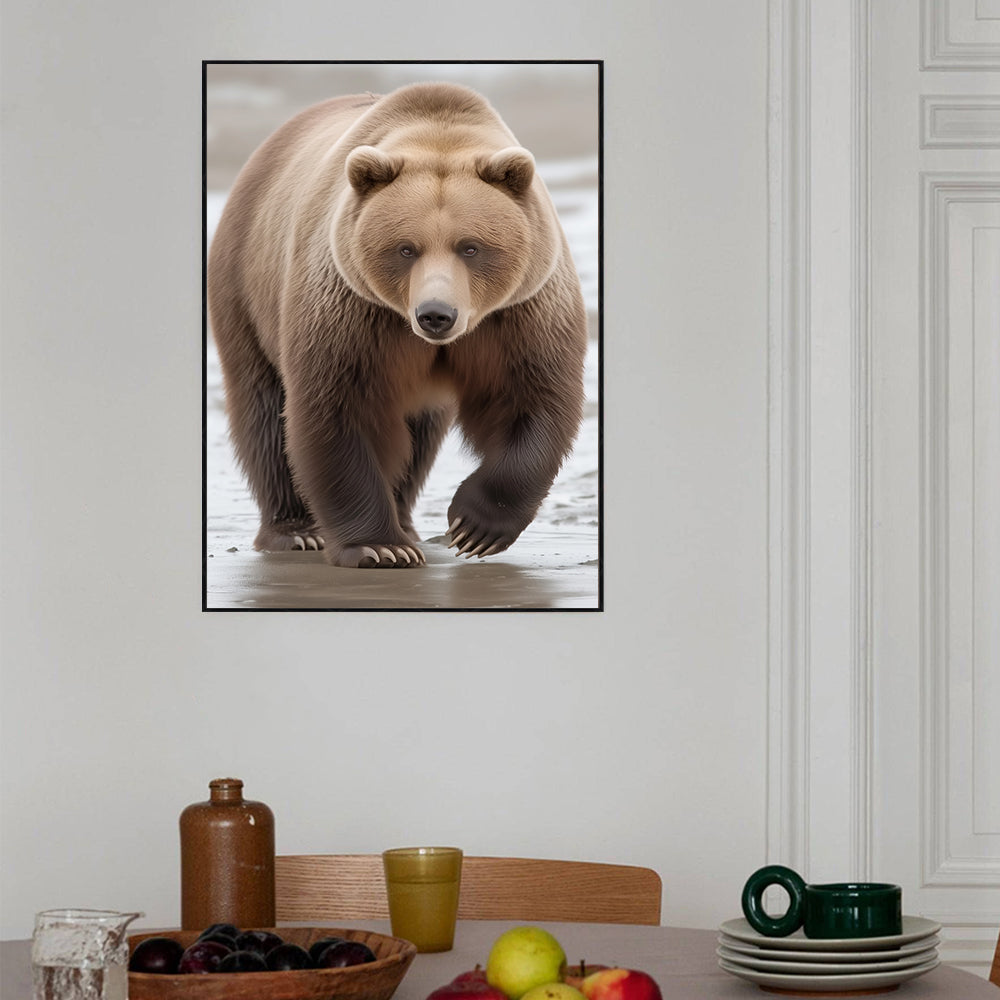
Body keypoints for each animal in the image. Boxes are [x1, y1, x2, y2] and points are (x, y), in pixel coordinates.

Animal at [208, 82, 588, 569]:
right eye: (406, 248)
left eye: (471, 247)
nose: (436, 314)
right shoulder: (352, 308)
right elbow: (338, 407)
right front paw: (378, 546)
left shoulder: (519, 313)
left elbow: (532, 399)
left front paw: (474, 528)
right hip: (246, 288)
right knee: (264, 413)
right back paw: (296, 531)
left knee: (420, 437)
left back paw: (408, 523)